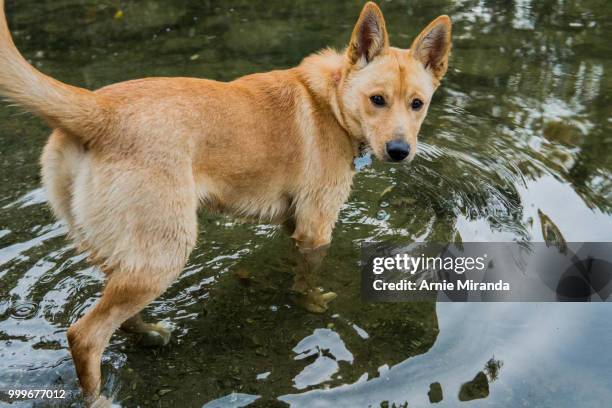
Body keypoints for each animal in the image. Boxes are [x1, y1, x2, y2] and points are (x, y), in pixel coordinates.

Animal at [0, 0, 450, 404]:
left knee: (116, 318)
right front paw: (313, 305)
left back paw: (149, 334)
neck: (332, 99)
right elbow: (306, 282)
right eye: (377, 100)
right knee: (85, 335)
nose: (399, 151)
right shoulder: (316, 227)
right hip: (165, 254)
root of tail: (99, 110)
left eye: (417, 104)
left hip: (126, 252)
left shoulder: (293, 223)